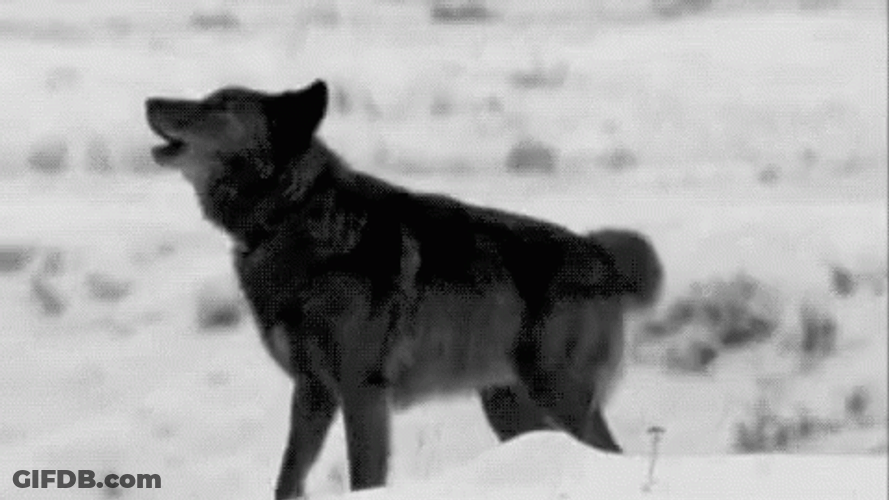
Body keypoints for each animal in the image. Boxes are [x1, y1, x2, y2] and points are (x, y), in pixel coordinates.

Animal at [146, 80, 662, 499]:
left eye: (220, 104)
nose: (149, 101)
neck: (290, 217)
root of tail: (600, 252)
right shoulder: (312, 391)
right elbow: (288, 478)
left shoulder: (363, 391)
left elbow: (364, 476)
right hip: (509, 409)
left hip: (559, 397)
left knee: (615, 454)